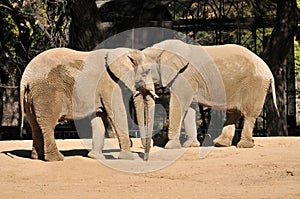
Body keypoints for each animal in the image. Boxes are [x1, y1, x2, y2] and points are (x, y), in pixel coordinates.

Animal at [19, 47, 156, 162]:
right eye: (147, 71)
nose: (145, 159)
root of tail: (25, 78)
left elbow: (98, 118)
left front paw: (95, 157)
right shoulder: (109, 83)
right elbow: (118, 113)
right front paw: (128, 158)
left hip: (31, 97)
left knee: (34, 124)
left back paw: (36, 157)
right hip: (47, 93)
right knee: (48, 124)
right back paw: (56, 159)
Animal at [144, 38, 278, 148]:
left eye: (147, 70)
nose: (151, 144)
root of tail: (268, 71)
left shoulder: (185, 76)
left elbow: (179, 104)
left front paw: (171, 147)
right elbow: (189, 108)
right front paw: (190, 146)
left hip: (255, 85)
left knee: (249, 114)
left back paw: (243, 145)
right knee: (233, 112)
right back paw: (221, 144)